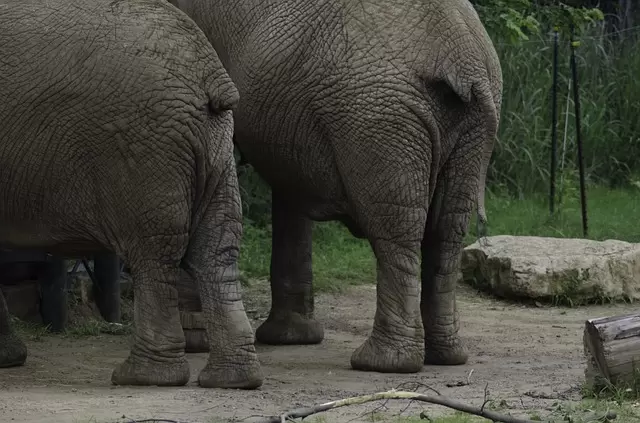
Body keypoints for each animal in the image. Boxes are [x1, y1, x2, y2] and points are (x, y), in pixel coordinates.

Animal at [0, 0, 263, 389]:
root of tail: (208, 73)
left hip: (145, 152)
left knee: (154, 253)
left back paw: (143, 376)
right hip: (215, 146)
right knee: (216, 252)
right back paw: (233, 380)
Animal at [167, 0, 503, 378]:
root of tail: (464, 60)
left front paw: (197, 342)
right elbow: (289, 182)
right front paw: (291, 339)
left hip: (378, 118)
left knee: (398, 229)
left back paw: (382, 363)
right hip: (465, 126)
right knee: (447, 230)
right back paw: (444, 356)